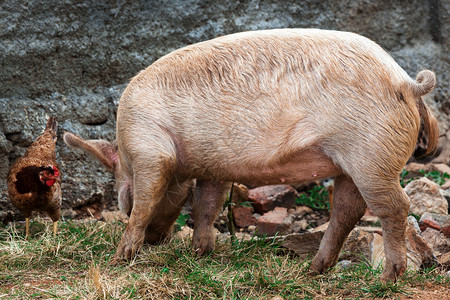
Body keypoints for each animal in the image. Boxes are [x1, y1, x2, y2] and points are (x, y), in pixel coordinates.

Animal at [68, 27, 438, 282]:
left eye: (123, 200)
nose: (156, 242)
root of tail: (405, 81)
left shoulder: (149, 149)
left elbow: (148, 203)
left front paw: (118, 259)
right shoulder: (213, 168)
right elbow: (206, 206)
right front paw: (200, 253)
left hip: (370, 153)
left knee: (395, 206)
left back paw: (387, 278)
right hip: (351, 162)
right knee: (348, 210)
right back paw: (314, 270)